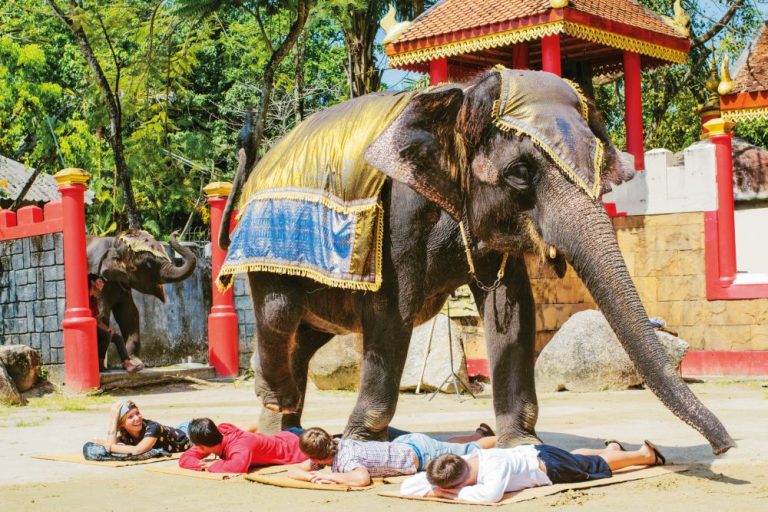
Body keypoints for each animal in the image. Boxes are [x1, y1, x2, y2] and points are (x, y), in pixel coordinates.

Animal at [85, 230, 196, 358]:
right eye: (148, 264)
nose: (177, 232)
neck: (114, 243)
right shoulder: (97, 278)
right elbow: (102, 314)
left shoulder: (122, 286)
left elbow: (130, 314)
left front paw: (134, 360)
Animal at [224, 69, 736, 456]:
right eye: (520, 173)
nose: (727, 447)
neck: (460, 97)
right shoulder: (400, 213)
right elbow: (392, 313)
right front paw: (361, 443)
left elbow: (511, 309)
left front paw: (522, 445)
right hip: (263, 246)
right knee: (279, 314)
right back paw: (275, 416)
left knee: (307, 336)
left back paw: (288, 427)